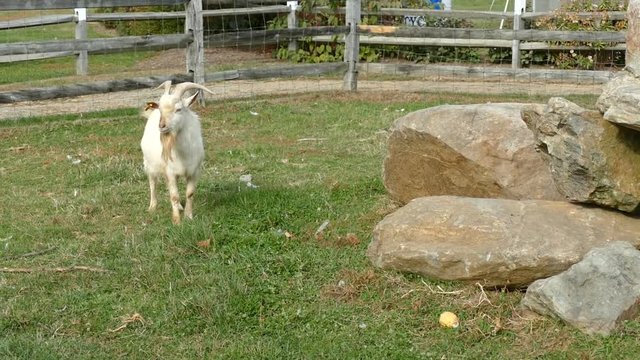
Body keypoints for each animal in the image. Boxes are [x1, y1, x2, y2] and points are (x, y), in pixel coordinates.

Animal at [140, 80, 215, 224]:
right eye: (161, 109)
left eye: (179, 109)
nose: (162, 126)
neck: (183, 154)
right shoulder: (170, 172)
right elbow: (174, 195)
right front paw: (177, 221)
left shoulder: (194, 171)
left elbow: (189, 193)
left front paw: (188, 217)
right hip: (149, 164)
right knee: (153, 183)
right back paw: (152, 207)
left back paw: (180, 206)